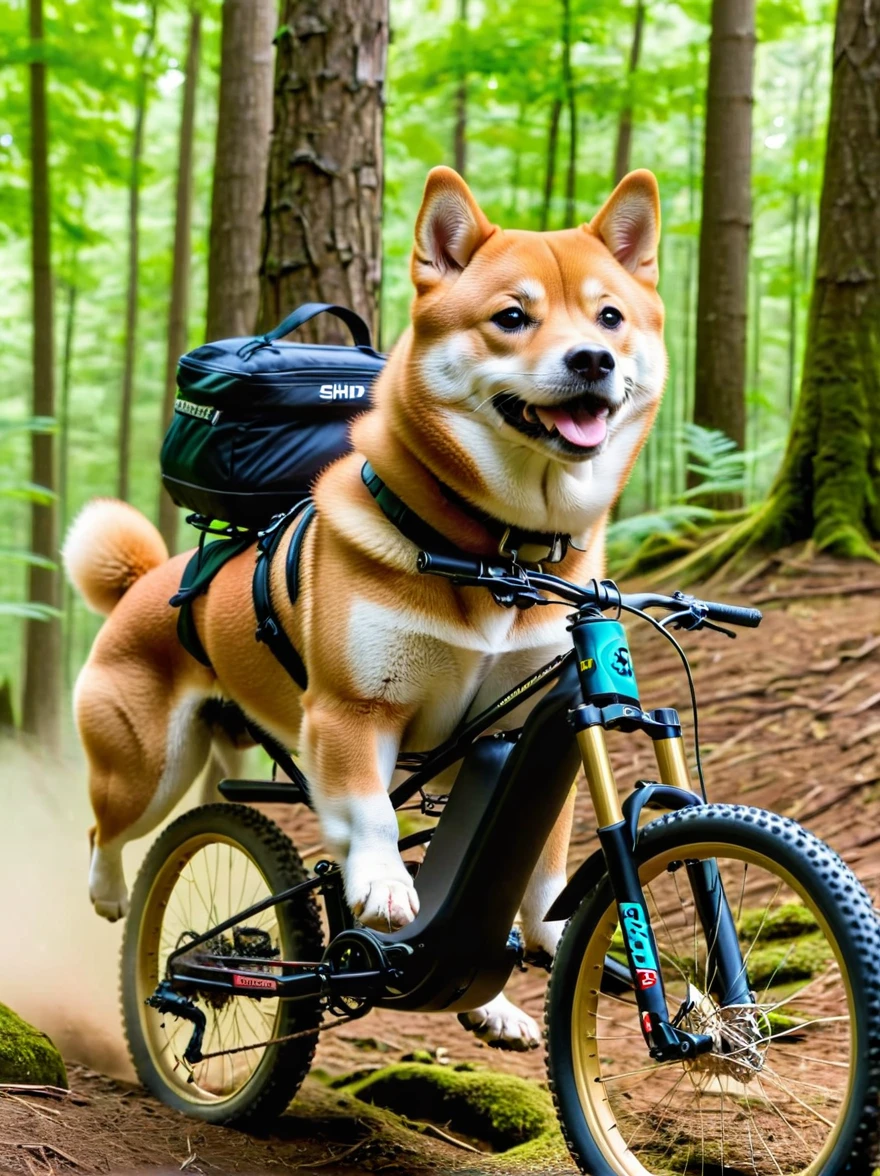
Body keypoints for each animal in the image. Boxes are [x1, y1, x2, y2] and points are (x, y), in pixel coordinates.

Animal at [65, 168, 663, 1048]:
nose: (592, 358)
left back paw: (488, 1003)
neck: (497, 553)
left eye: (610, 317)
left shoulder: (528, 721)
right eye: (511, 317)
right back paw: (112, 895)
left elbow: (544, 860)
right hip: (147, 764)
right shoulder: (352, 712)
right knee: (107, 830)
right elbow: (375, 822)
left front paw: (557, 941)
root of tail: (144, 579)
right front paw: (381, 890)